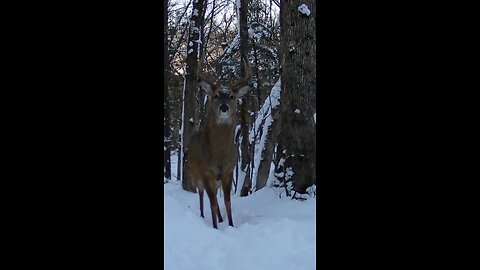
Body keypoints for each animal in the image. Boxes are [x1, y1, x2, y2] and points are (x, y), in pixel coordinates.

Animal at [187, 56, 253, 228]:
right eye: (216, 95)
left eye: (231, 96)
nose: (224, 108)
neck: (219, 154)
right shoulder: (205, 172)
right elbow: (212, 204)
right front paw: (215, 227)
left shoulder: (228, 171)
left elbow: (227, 201)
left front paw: (230, 225)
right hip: (194, 175)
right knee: (202, 196)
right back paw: (202, 216)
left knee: (216, 197)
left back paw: (221, 219)